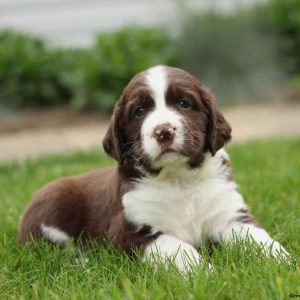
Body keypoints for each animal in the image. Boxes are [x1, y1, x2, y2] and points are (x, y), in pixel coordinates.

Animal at [17, 67, 290, 274]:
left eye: (184, 103)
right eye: (139, 111)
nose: (164, 131)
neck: (179, 179)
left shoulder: (229, 215)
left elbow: (260, 239)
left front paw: (285, 263)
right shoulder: (131, 232)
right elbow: (179, 247)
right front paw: (208, 274)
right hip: (52, 202)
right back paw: (83, 262)